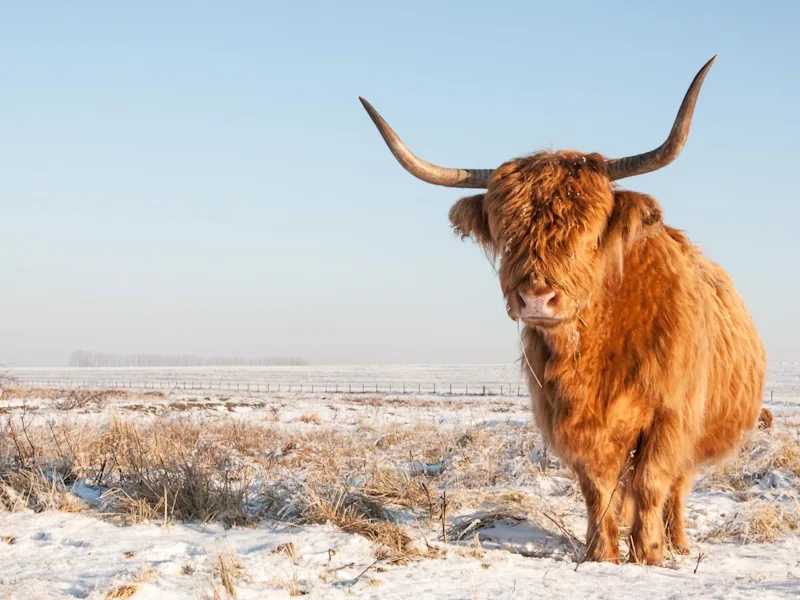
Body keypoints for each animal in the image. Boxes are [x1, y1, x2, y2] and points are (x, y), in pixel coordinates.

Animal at [358, 55, 767, 567]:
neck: (598, 346)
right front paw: (601, 554)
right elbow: (599, 488)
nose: (537, 299)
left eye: (590, 234)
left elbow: (652, 484)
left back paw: (677, 543)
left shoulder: (670, 418)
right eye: (505, 232)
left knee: (675, 487)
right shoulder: (570, 422)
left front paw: (650, 556)